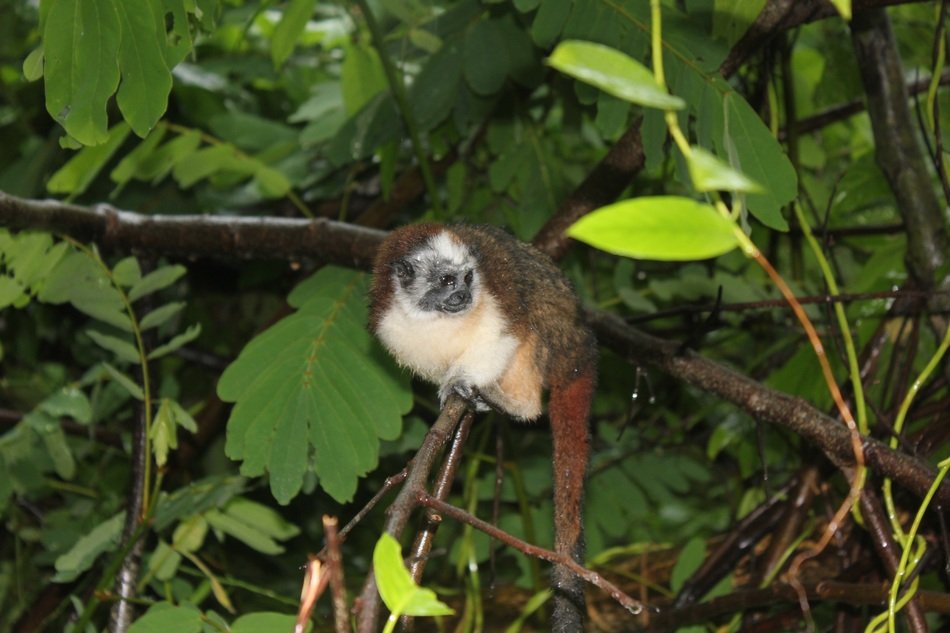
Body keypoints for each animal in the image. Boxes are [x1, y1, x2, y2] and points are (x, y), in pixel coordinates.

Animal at [369, 223, 597, 632]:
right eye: (446, 280)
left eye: (468, 278)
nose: (463, 295)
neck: (430, 317)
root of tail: (580, 350)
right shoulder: (390, 323)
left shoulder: (497, 298)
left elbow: (505, 335)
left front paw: (461, 384)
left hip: (555, 342)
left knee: (529, 328)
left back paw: (508, 402)